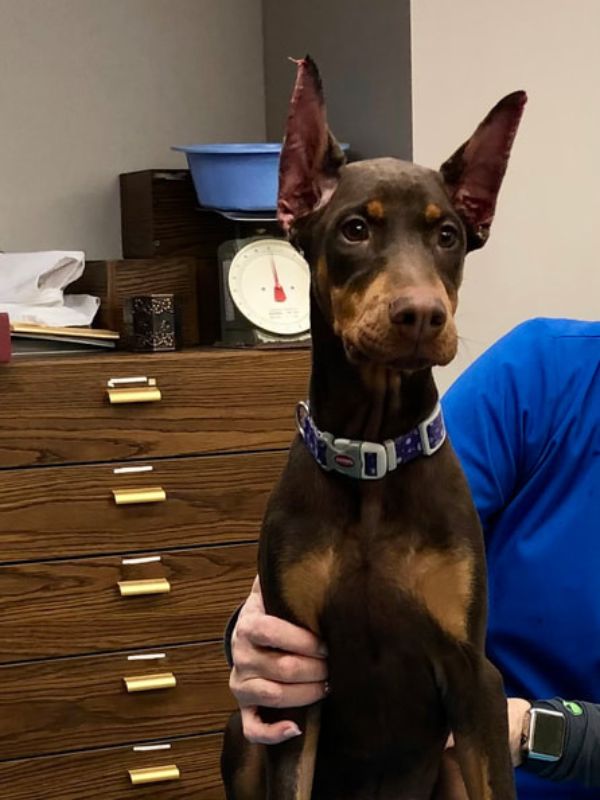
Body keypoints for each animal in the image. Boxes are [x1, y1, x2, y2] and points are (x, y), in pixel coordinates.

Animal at [220, 56, 524, 800]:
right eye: (355, 229)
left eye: (448, 236)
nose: (421, 316)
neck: (373, 451)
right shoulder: (293, 684)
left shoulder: (474, 677)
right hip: (244, 733)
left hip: (450, 757)